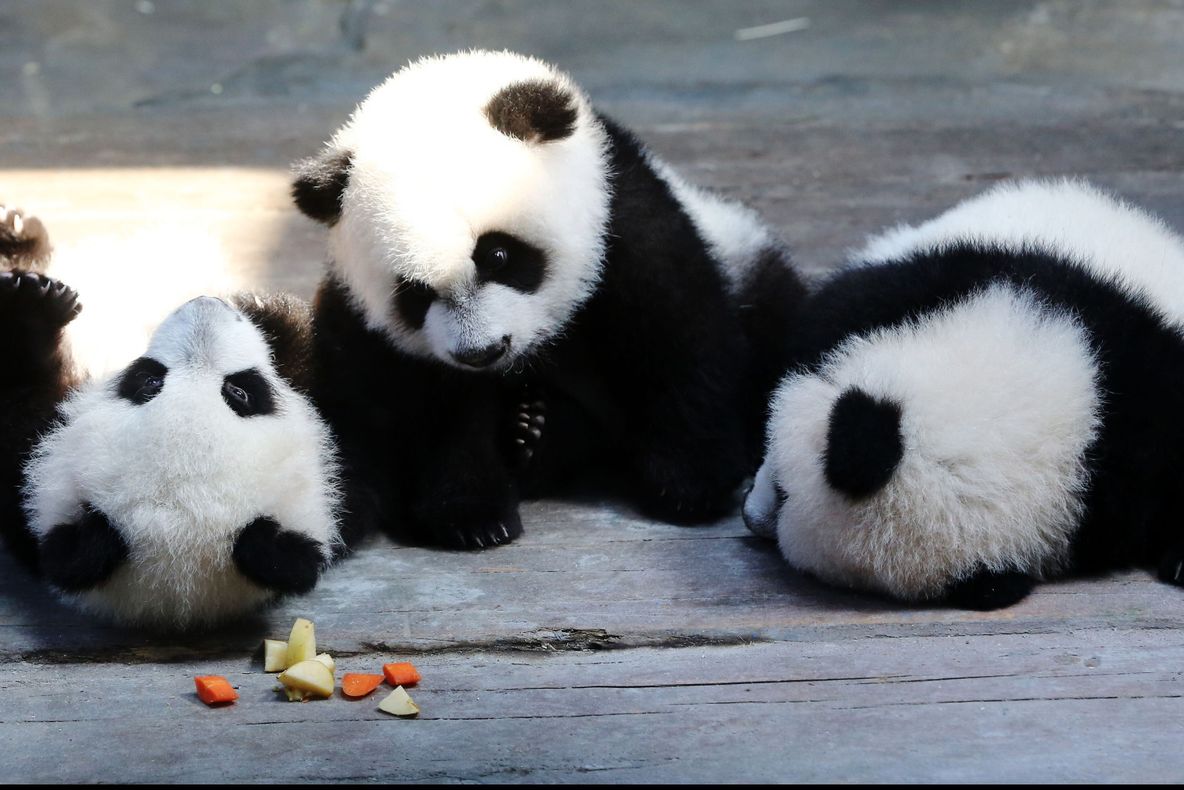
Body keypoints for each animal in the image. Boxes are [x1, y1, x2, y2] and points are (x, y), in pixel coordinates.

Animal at [291, 50, 805, 549]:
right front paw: (472, 514)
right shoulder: (369, 330)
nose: (482, 352)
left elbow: (676, 328)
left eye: (497, 255)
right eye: (415, 293)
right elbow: (434, 409)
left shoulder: (621, 217)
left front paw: (689, 484)